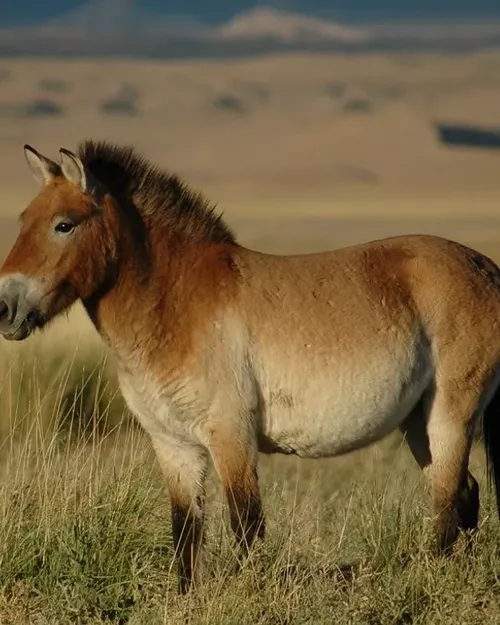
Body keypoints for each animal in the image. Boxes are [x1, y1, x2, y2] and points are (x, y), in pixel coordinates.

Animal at [1, 140, 500, 593]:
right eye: (23, 221)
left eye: (64, 225)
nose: (5, 308)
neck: (176, 304)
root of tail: (486, 268)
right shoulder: (173, 444)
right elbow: (185, 532)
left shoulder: (231, 436)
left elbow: (246, 524)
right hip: (417, 423)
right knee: (462, 495)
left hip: (450, 417)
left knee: (448, 503)